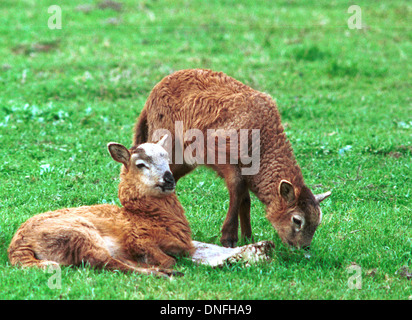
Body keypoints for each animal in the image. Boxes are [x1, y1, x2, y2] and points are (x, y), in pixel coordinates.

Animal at [8, 138, 194, 278]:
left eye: (167, 160)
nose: (169, 180)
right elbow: (169, 259)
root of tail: (19, 246)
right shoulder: (140, 241)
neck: (142, 216)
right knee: (103, 261)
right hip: (80, 234)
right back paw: (164, 273)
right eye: (140, 164)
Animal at [134, 69, 332, 249]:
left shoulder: (246, 170)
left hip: (184, 159)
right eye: (297, 220)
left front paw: (248, 238)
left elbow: (245, 200)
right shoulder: (222, 157)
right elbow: (236, 190)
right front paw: (229, 238)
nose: (304, 249)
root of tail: (152, 94)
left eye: (318, 222)